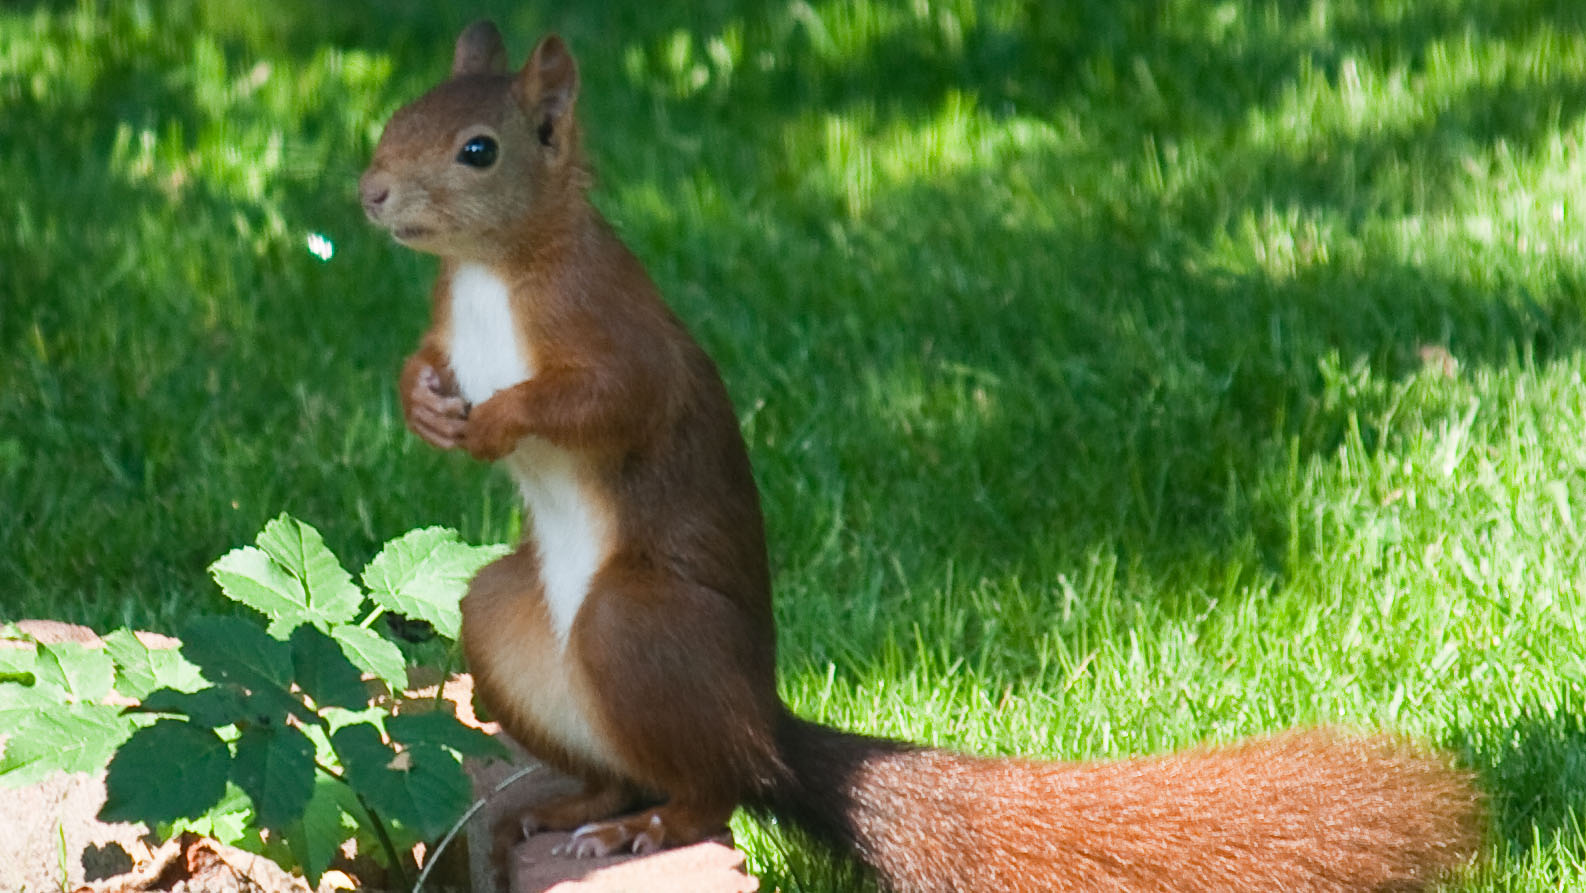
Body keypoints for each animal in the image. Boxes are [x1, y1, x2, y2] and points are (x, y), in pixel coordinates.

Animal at [360, 21, 1484, 893]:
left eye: (476, 149)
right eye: (398, 114)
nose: (368, 193)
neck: (491, 272)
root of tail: (761, 726)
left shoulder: (610, 324)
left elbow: (607, 401)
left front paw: (497, 422)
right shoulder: (451, 322)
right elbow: (424, 361)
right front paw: (421, 400)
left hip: (636, 626)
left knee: (707, 791)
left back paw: (643, 827)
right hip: (503, 618)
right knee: (626, 761)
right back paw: (570, 808)